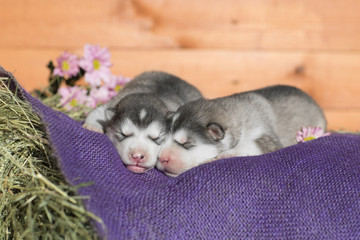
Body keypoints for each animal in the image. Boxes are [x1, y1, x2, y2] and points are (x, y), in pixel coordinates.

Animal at [157, 84, 326, 176]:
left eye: (186, 143)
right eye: (163, 140)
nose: (161, 158)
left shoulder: (266, 138)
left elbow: (248, 145)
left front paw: (225, 155)